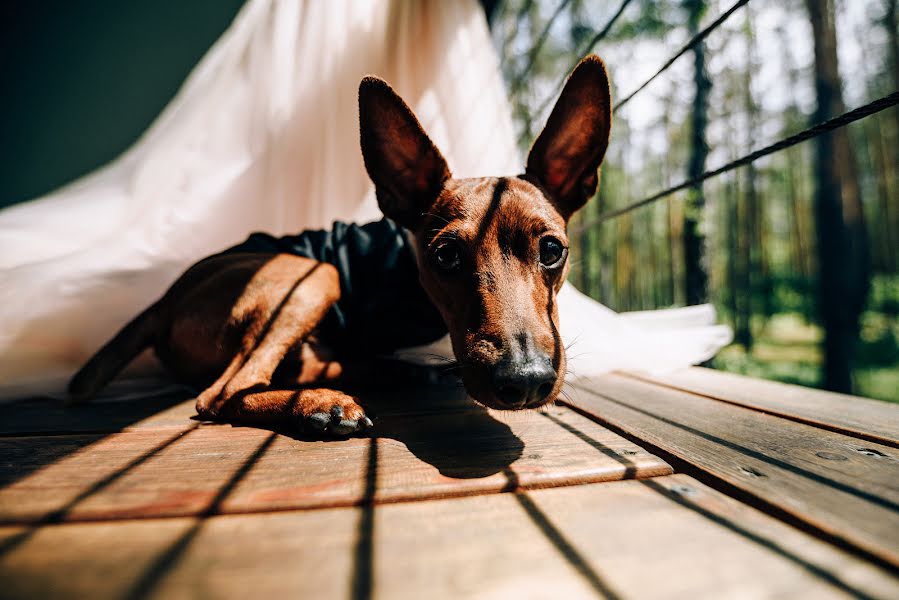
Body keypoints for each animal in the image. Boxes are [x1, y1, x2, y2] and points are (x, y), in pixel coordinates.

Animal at [70, 55, 612, 436]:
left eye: (552, 251)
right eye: (446, 256)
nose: (526, 379)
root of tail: (164, 302)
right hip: (312, 276)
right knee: (225, 391)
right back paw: (322, 403)